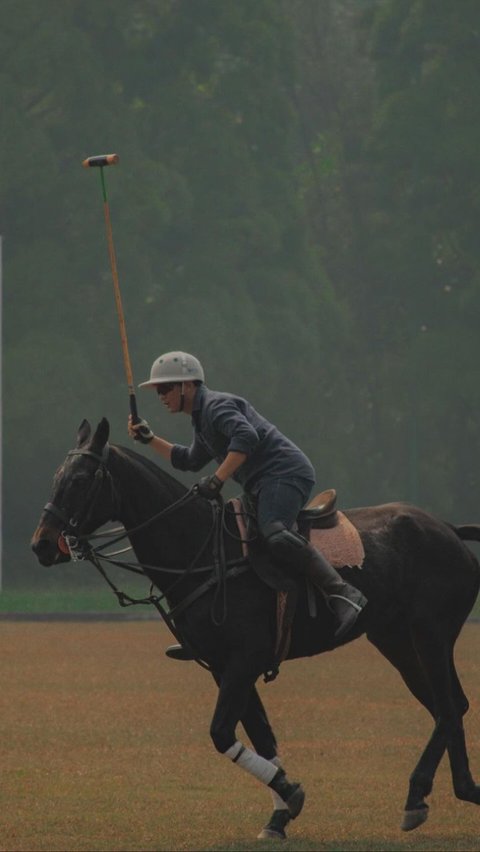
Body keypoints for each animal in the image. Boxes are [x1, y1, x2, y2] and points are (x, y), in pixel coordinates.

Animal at [31, 418, 480, 840]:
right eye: (56, 476)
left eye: (81, 479)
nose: (42, 544)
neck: (202, 551)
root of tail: (449, 528)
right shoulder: (222, 665)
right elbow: (260, 737)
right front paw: (280, 814)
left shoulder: (245, 659)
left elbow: (221, 733)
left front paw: (291, 793)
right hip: (395, 639)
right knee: (450, 706)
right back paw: (463, 790)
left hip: (431, 632)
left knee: (447, 706)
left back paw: (416, 794)